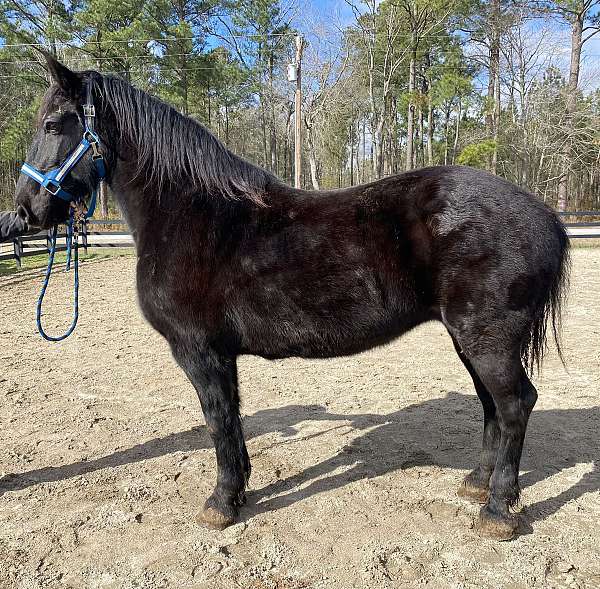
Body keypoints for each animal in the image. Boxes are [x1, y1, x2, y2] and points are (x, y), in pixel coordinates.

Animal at [11, 55, 568, 536]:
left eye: (55, 125)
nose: (23, 212)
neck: (193, 215)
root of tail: (544, 215)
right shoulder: (219, 353)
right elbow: (232, 421)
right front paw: (237, 490)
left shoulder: (198, 350)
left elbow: (218, 421)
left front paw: (221, 503)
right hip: (469, 339)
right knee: (491, 405)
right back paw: (477, 484)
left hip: (487, 340)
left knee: (514, 404)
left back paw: (498, 510)